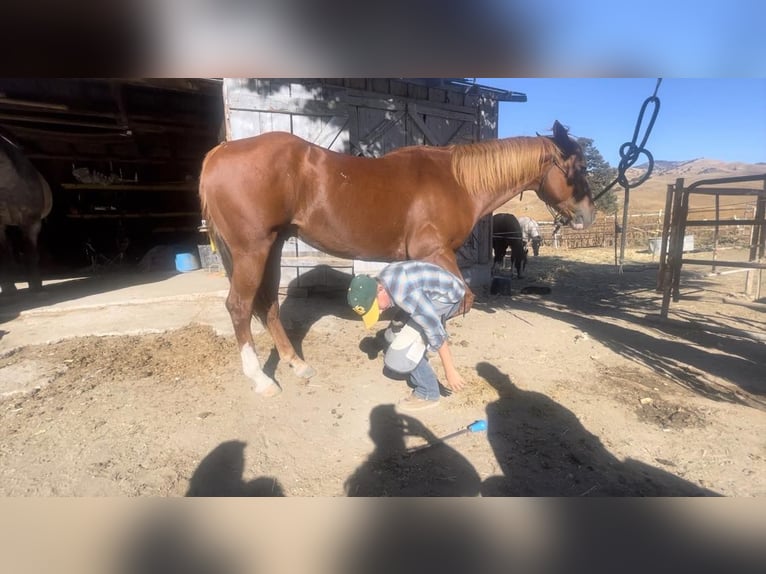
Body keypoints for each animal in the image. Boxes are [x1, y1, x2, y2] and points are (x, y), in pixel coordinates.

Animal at [201, 119, 596, 398]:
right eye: (578, 169)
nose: (587, 216)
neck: (457, 182)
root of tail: (218, 154)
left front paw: (396, 332)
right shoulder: (434, 252)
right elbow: (463, 300)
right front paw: (409, 340)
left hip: (274, 245)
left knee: (267, 303)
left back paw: (297, 364)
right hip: (252, 249)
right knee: (239, 306)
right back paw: (261, 379)